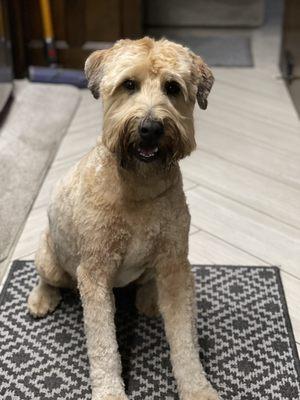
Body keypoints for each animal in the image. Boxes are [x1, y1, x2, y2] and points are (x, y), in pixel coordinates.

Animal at [27, 37, 218, 400]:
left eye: (172, 87)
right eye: (129, 84)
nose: (150, 128)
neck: (140, 186)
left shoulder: (175, 264)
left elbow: (184, 339)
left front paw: (197, 388)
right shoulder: (94, 272)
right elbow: (103, 346)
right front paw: (110, 392)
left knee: (145, 281)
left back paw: (148, 297)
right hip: (49, 257)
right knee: (48, 278)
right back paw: (42, 298)